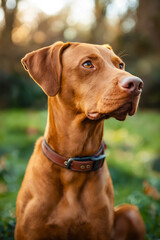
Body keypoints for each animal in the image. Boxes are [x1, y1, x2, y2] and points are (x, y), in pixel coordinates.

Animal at [15, 42, 146, 239]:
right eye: (87, 64)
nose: (137, 84)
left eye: (120, 65)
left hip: (131, 211)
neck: (76, 159)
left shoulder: (99, 229)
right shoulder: (30, 231)